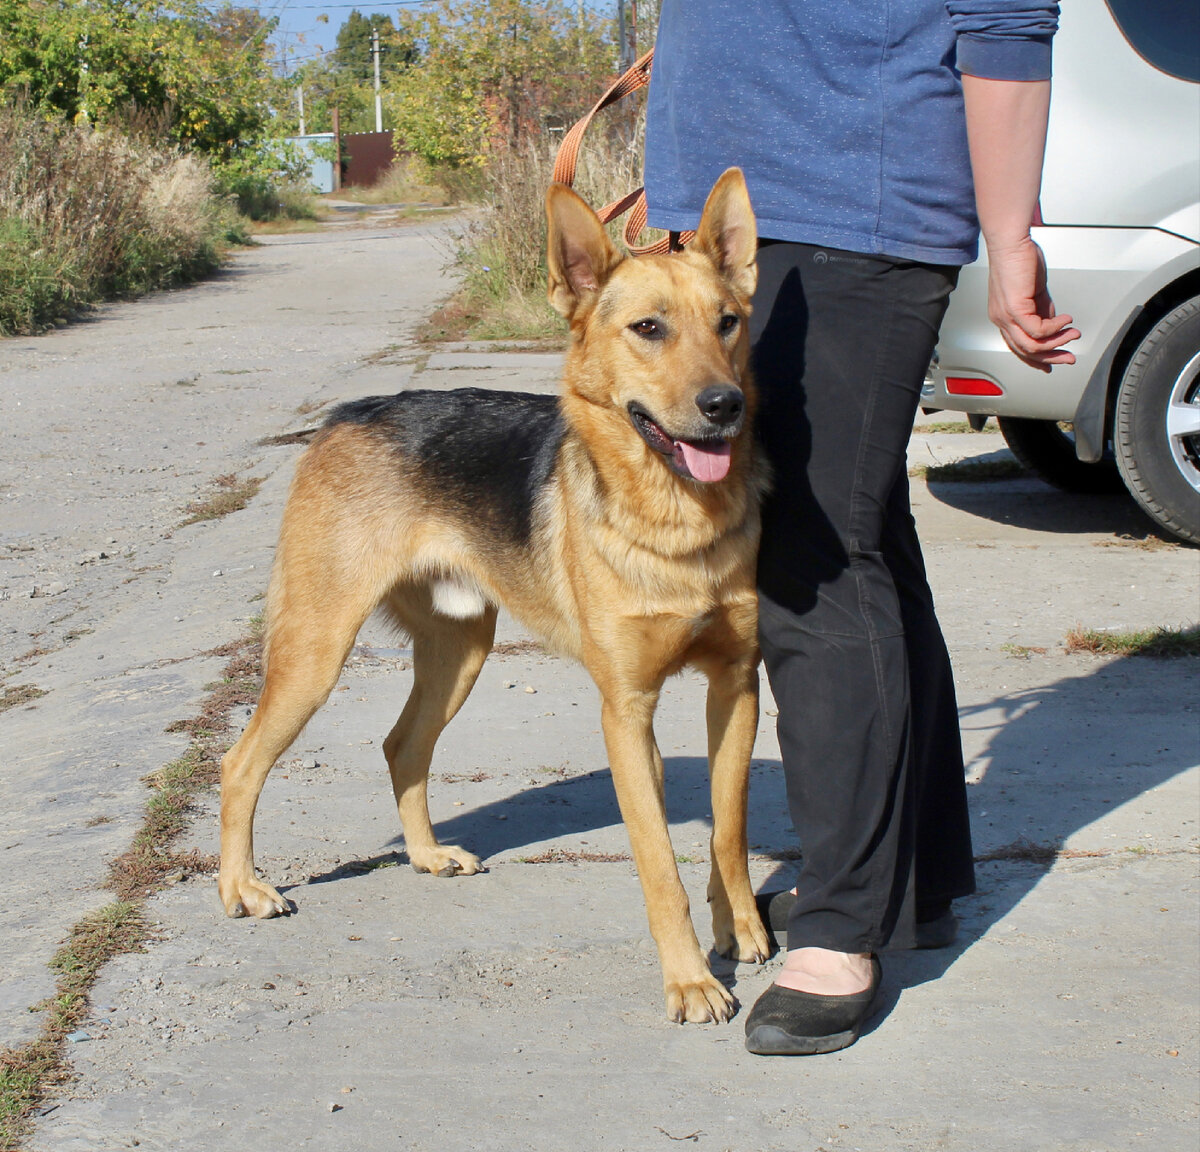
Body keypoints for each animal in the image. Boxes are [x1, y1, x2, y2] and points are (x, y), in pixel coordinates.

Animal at [220, 166, 772, 1022]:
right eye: (649, 328)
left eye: (728, 323)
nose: (725, 407)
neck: (677, 523)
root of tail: (347, 413)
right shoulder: (627, 713)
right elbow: (658, 863)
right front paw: (689, 980)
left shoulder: (736, 688)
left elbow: (727, 830)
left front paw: (738, 928)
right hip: (315, 653)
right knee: (239, 764)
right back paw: (243, 889)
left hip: (462, 650)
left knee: (401, 745)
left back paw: (424, 856)